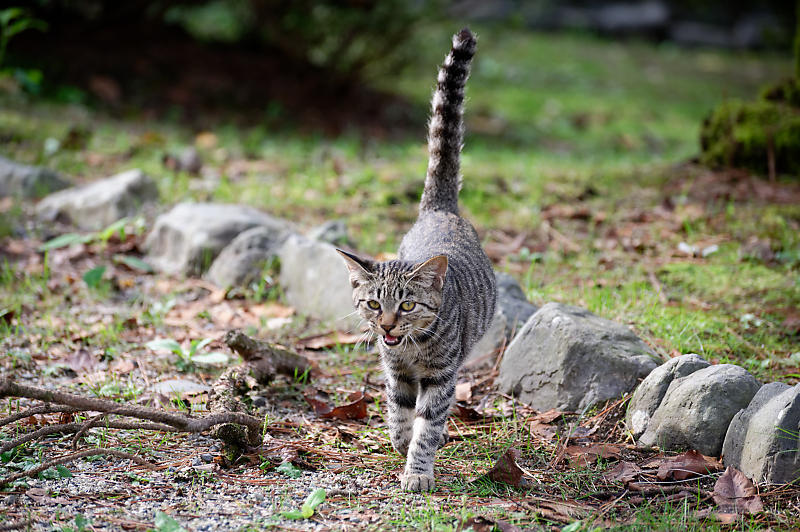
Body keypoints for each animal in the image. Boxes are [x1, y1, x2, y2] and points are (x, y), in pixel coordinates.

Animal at [336, 29, 494, 492]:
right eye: (374, 303)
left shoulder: (442, 376)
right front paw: (399, 438)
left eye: (407, 304)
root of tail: (440, 209)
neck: (411, 348)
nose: (387, 326)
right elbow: (399, 406)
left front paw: (418, 470)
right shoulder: (396, 371)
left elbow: (428, 422)